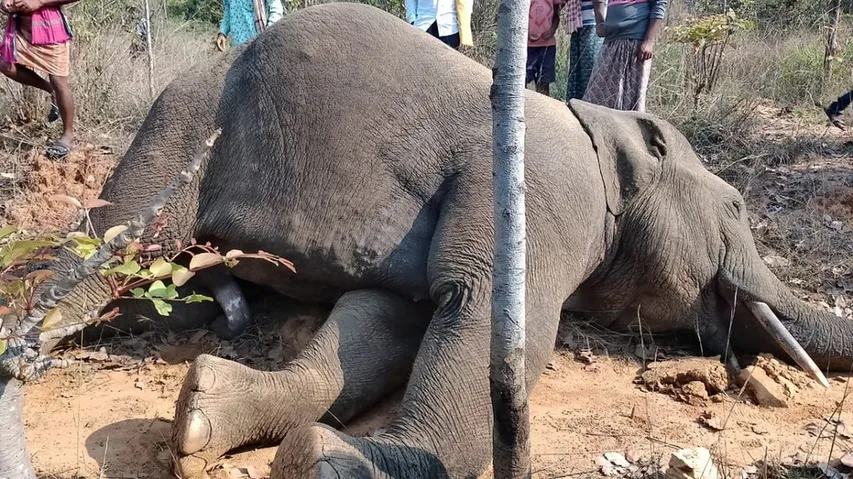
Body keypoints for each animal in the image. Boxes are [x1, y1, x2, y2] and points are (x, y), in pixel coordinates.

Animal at [14, 3, 853, 479]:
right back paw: (22, 351)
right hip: (183, 119)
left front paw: (207, 416)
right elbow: (484, 317)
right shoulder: (538, 193)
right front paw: (335, 464)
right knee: (116, 247)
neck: (602, 131)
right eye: (737, 206)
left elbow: (381, 321)